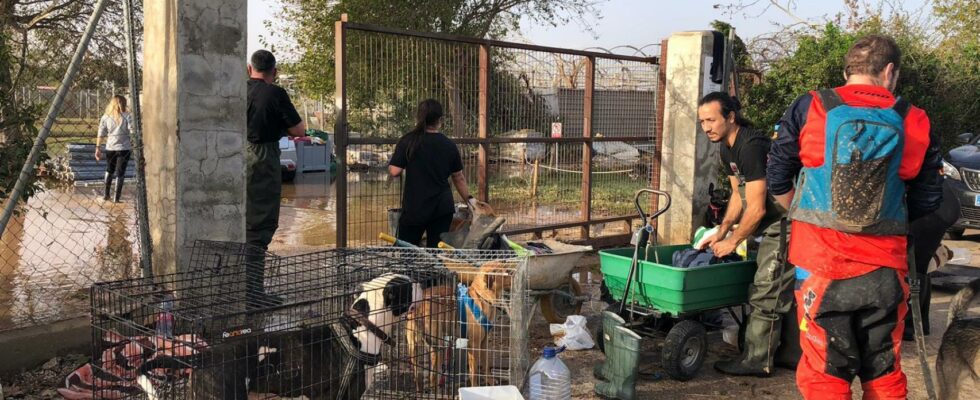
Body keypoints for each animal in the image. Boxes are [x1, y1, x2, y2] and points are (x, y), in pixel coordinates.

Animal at [406, 260, 512, 392]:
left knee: (419, 373)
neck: (481, 297)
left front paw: (491, 382)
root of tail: (419, 305)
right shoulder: (474, 345)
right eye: (506, 272)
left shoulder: (484, 342)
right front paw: (475, 388)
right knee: (433, 374)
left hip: (414, 345)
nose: (515, 274)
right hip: (437, 343)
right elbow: (474, 372)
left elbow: (486, 364)